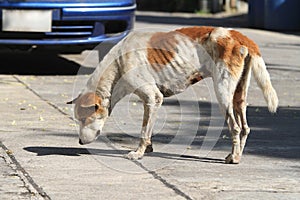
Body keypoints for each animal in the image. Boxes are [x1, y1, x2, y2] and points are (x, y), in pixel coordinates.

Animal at [68, 26, 278, 164]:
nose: (79, 142)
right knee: (245, 128)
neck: (118, 63)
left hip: (223, 94)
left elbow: (144, 132)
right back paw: (237, 155)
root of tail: (239, 35)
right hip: (238, 97)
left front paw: (138, 153)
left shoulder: (153, 98)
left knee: (235, 127)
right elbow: (149, 129)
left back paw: (234, 157)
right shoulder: (151, 103)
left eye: (85, 119)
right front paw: (148, 149)